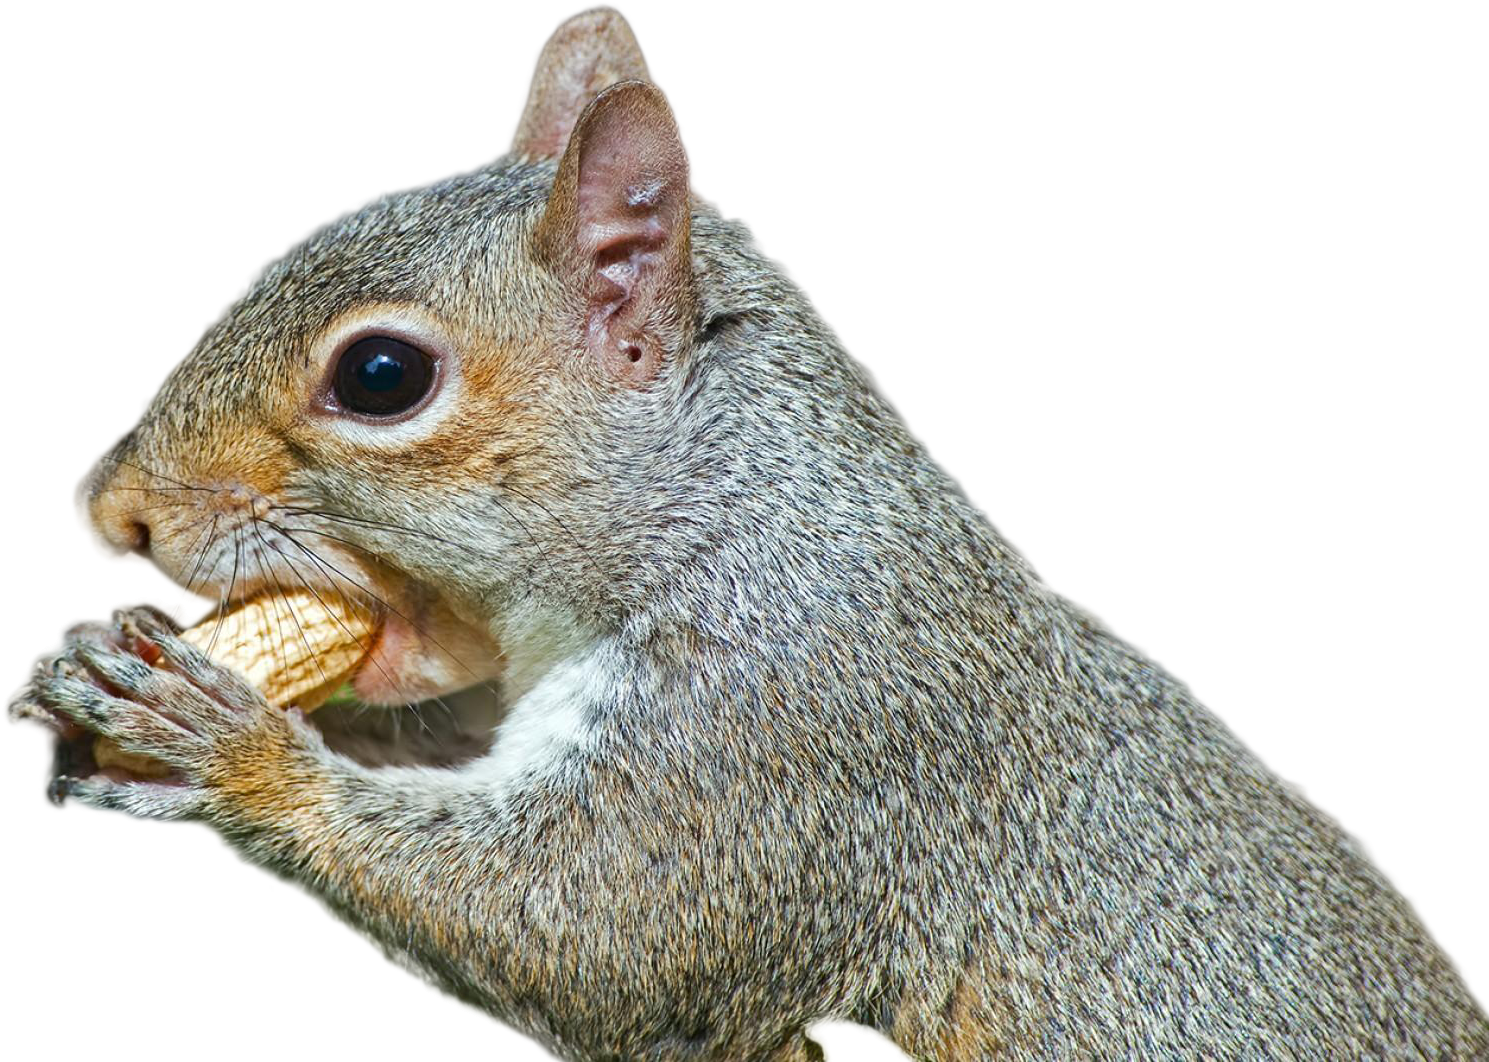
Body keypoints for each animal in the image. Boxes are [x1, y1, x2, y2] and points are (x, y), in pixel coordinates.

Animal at [5, 8, 1485, 1060]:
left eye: (380, 377)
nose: (103, 511)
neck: (735, 511)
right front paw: (98, 666)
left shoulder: (790, 733)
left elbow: (590, 927)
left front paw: (227, 743)